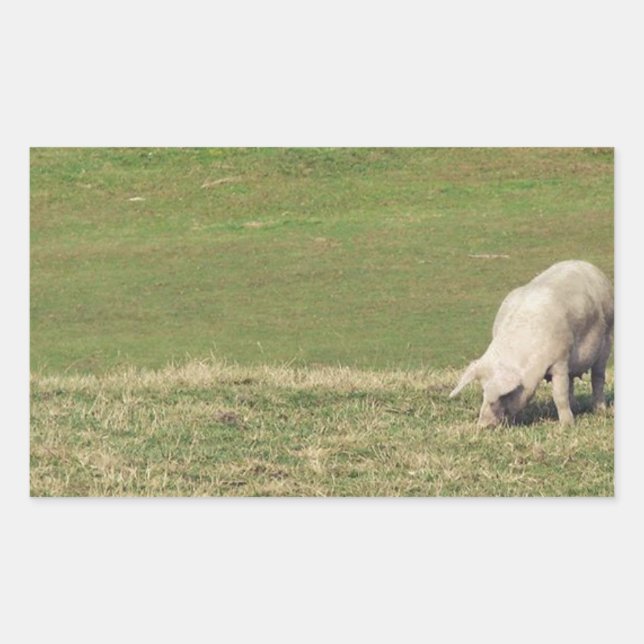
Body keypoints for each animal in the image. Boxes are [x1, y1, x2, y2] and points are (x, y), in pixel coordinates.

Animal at [449, 260, 613, 427]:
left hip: (608, 336)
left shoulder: (560, 359)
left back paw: (600, 410)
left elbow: (559, 395)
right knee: (572, 381)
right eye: (482, 391)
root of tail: (587, 265)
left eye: (504, 396)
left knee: (598, 377)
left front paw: (567, 426)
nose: (482, 426)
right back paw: (576, 408)